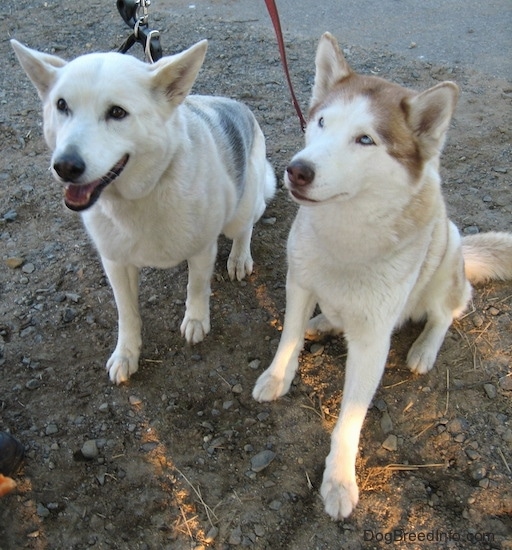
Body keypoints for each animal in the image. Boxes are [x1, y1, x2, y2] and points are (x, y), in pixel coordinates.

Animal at [13, 38, 276, 386]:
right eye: (62, 105)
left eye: (117, 112)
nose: (65, 166)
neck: (142, 194)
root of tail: (238, 106)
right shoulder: (115, 263)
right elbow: (127, 313)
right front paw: (127, 353)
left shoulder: (202, 249)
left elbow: (197, 287)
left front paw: (196, 319)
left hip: (241, 208)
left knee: (244, 228)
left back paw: (239, 257)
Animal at [253, 33, 512, 520]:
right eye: (321, 122)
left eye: (365, 140)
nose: (297, 170)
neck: (346, 233)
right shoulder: (299, 283)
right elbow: (288, 337)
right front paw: (279, 375)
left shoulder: (374, 340)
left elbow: (349, 419)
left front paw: (338, 479)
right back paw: (324, 322)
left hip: (446, 252)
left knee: (448, 310)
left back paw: (425, 348)